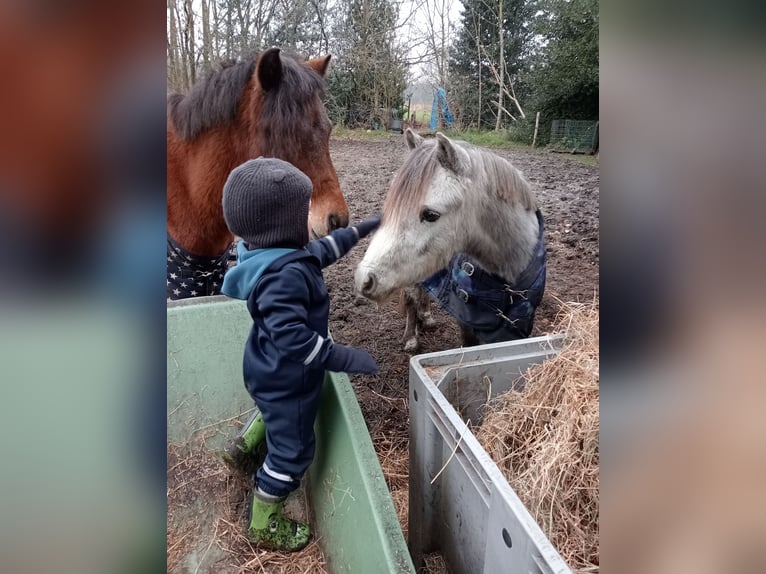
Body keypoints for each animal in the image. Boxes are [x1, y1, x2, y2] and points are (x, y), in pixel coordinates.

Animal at [356, 130, 548, 352]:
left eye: (431, 215)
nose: (364, 279)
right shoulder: (467, 323)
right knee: (412, 298)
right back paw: (411, 337)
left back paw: (426, 317)